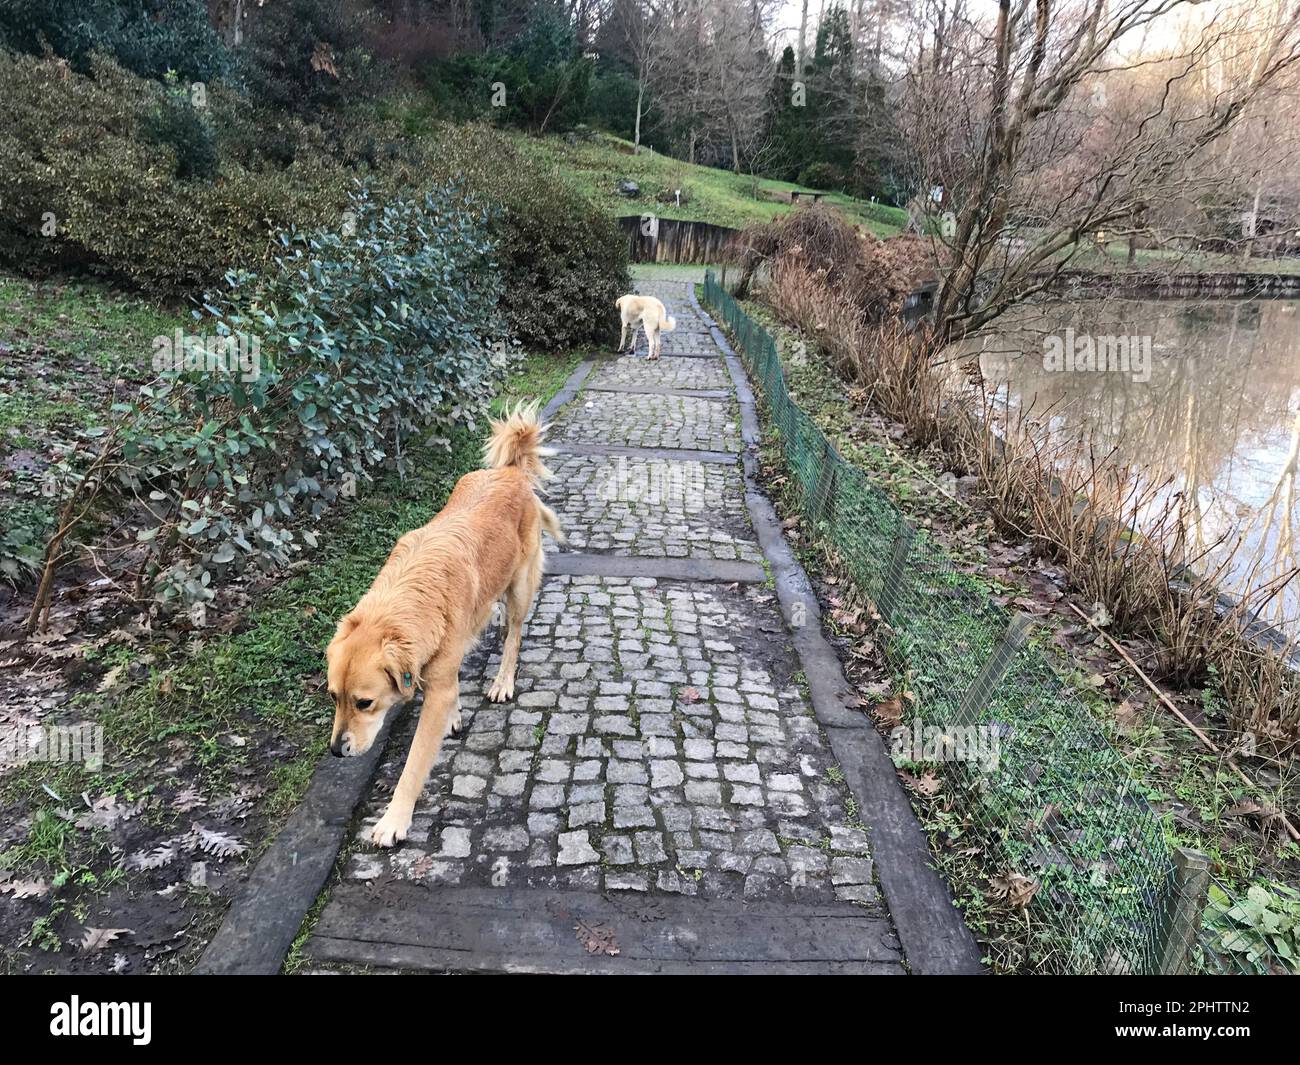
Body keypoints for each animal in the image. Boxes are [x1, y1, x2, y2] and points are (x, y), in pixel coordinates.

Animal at [323, 403, 559, 847]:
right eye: (333, 697)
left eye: (364, 703)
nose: (335, 751)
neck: (408, 600)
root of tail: (509, 473)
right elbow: (447, 686)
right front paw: (453, 713)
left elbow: (415, 763)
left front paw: (394, 819)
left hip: (520, 585)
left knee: (515, 634)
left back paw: (503, 679)